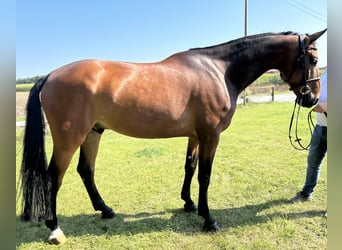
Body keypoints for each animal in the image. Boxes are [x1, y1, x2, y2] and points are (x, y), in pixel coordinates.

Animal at [19, 29, 326, 244]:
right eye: (312, 59)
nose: (312, 99)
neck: (219, 70)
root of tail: (50, 76)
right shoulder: (210, 135)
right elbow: (205, 175)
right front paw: (208, 219)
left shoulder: (196, 135)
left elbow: (190, 167)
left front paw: (189, 204)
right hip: (69, 138)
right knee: (53, 177)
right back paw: (54, 228)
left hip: (93, 133)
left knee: (86, 170)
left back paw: (105, 209)